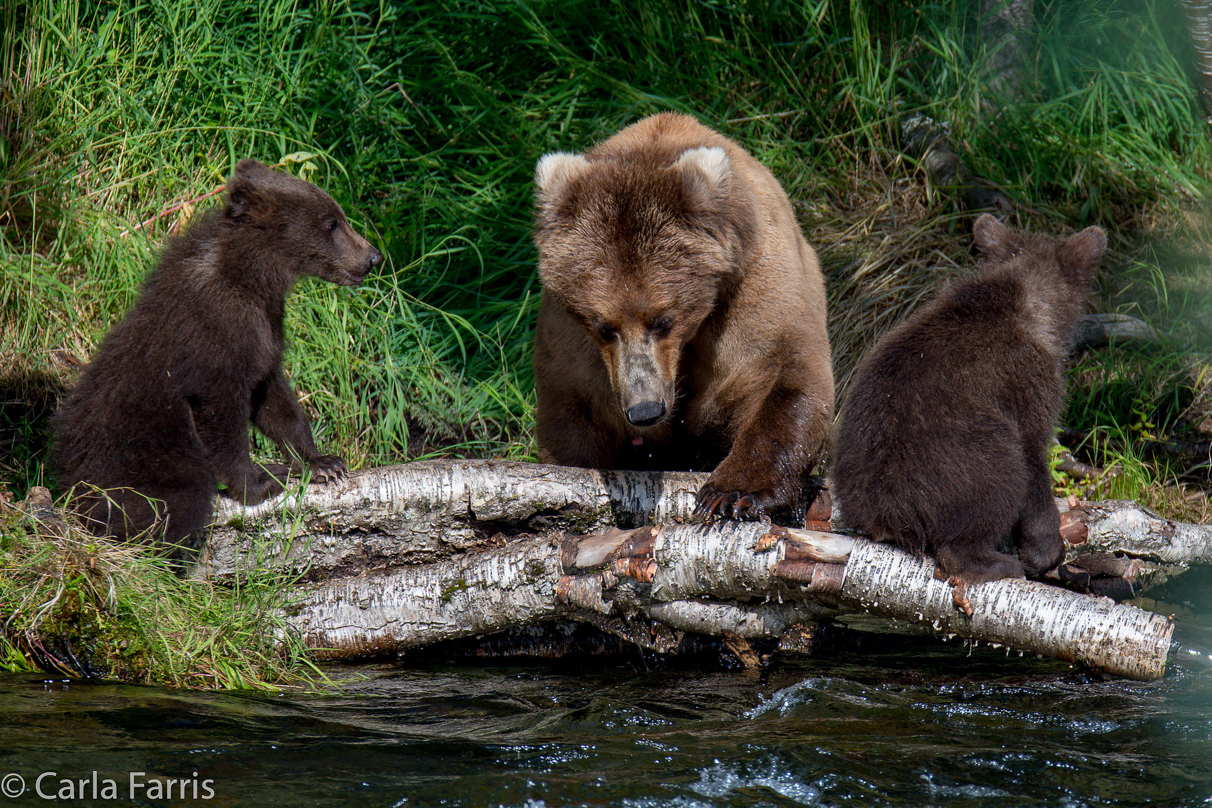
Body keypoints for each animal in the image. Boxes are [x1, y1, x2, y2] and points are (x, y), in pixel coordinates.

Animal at [52, 159, 380, 549]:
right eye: (331, 223)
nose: (373, 256)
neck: (251, 279)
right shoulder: (214, 334)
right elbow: (223, 416)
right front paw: (260, 482)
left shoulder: (264, 331)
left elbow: (274, 398)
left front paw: (322, 462)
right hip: (140, 449)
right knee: (170, 502)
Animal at [530, 112, 833, 518]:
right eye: (603, 326)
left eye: (663, 319)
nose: (645, 409)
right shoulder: (573, 342)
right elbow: (572, 405)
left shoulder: (752, 286)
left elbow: (782, 370)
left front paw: (732, 492)